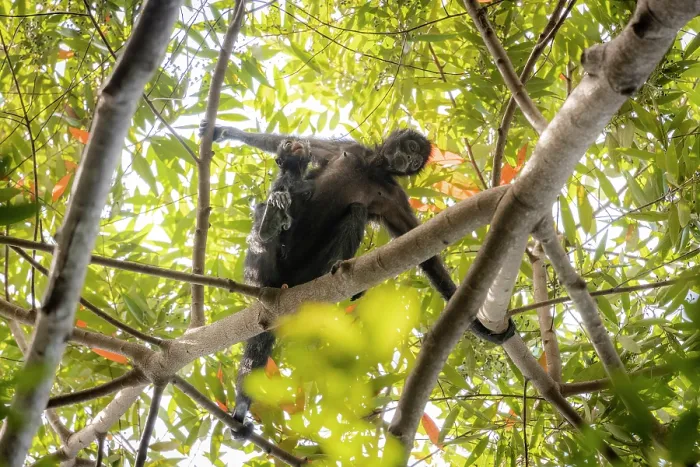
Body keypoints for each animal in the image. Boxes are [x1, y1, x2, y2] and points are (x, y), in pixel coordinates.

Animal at [199, 121, 516, 438]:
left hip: (308, 269)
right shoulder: (348, 149)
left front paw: (482, 329)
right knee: (269, 211)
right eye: (412, 149)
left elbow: (426, 253)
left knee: (356, 210)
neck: (372, 169)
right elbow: (287, 145)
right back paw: (267, 235)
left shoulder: (393, 196)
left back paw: (331, 267)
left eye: (416, 161)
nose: (409, 160)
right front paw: (223, 132)